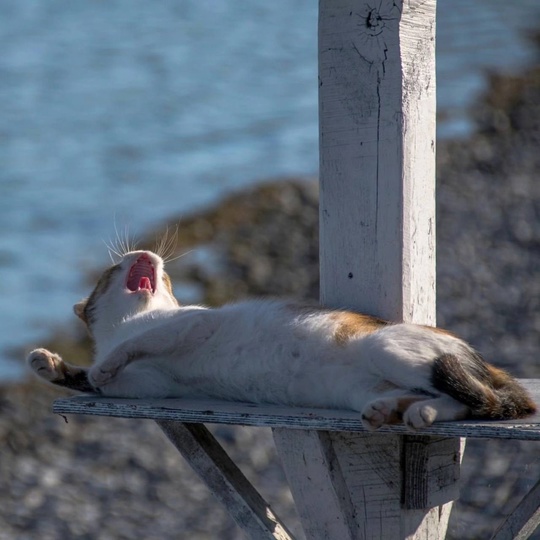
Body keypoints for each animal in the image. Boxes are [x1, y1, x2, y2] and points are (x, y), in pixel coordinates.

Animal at [28, 249, 536, 430]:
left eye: (166, 277)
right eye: (113, 269)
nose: (147, 253)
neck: (134, 320)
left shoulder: (190, 324)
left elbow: (134, 348)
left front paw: (101, 364)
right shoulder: (149, 386)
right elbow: (111, 378)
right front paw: (51, 365)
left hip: (387, 348)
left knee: (483, 400)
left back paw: (424, 412)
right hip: (363, 387)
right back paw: (394, 410)